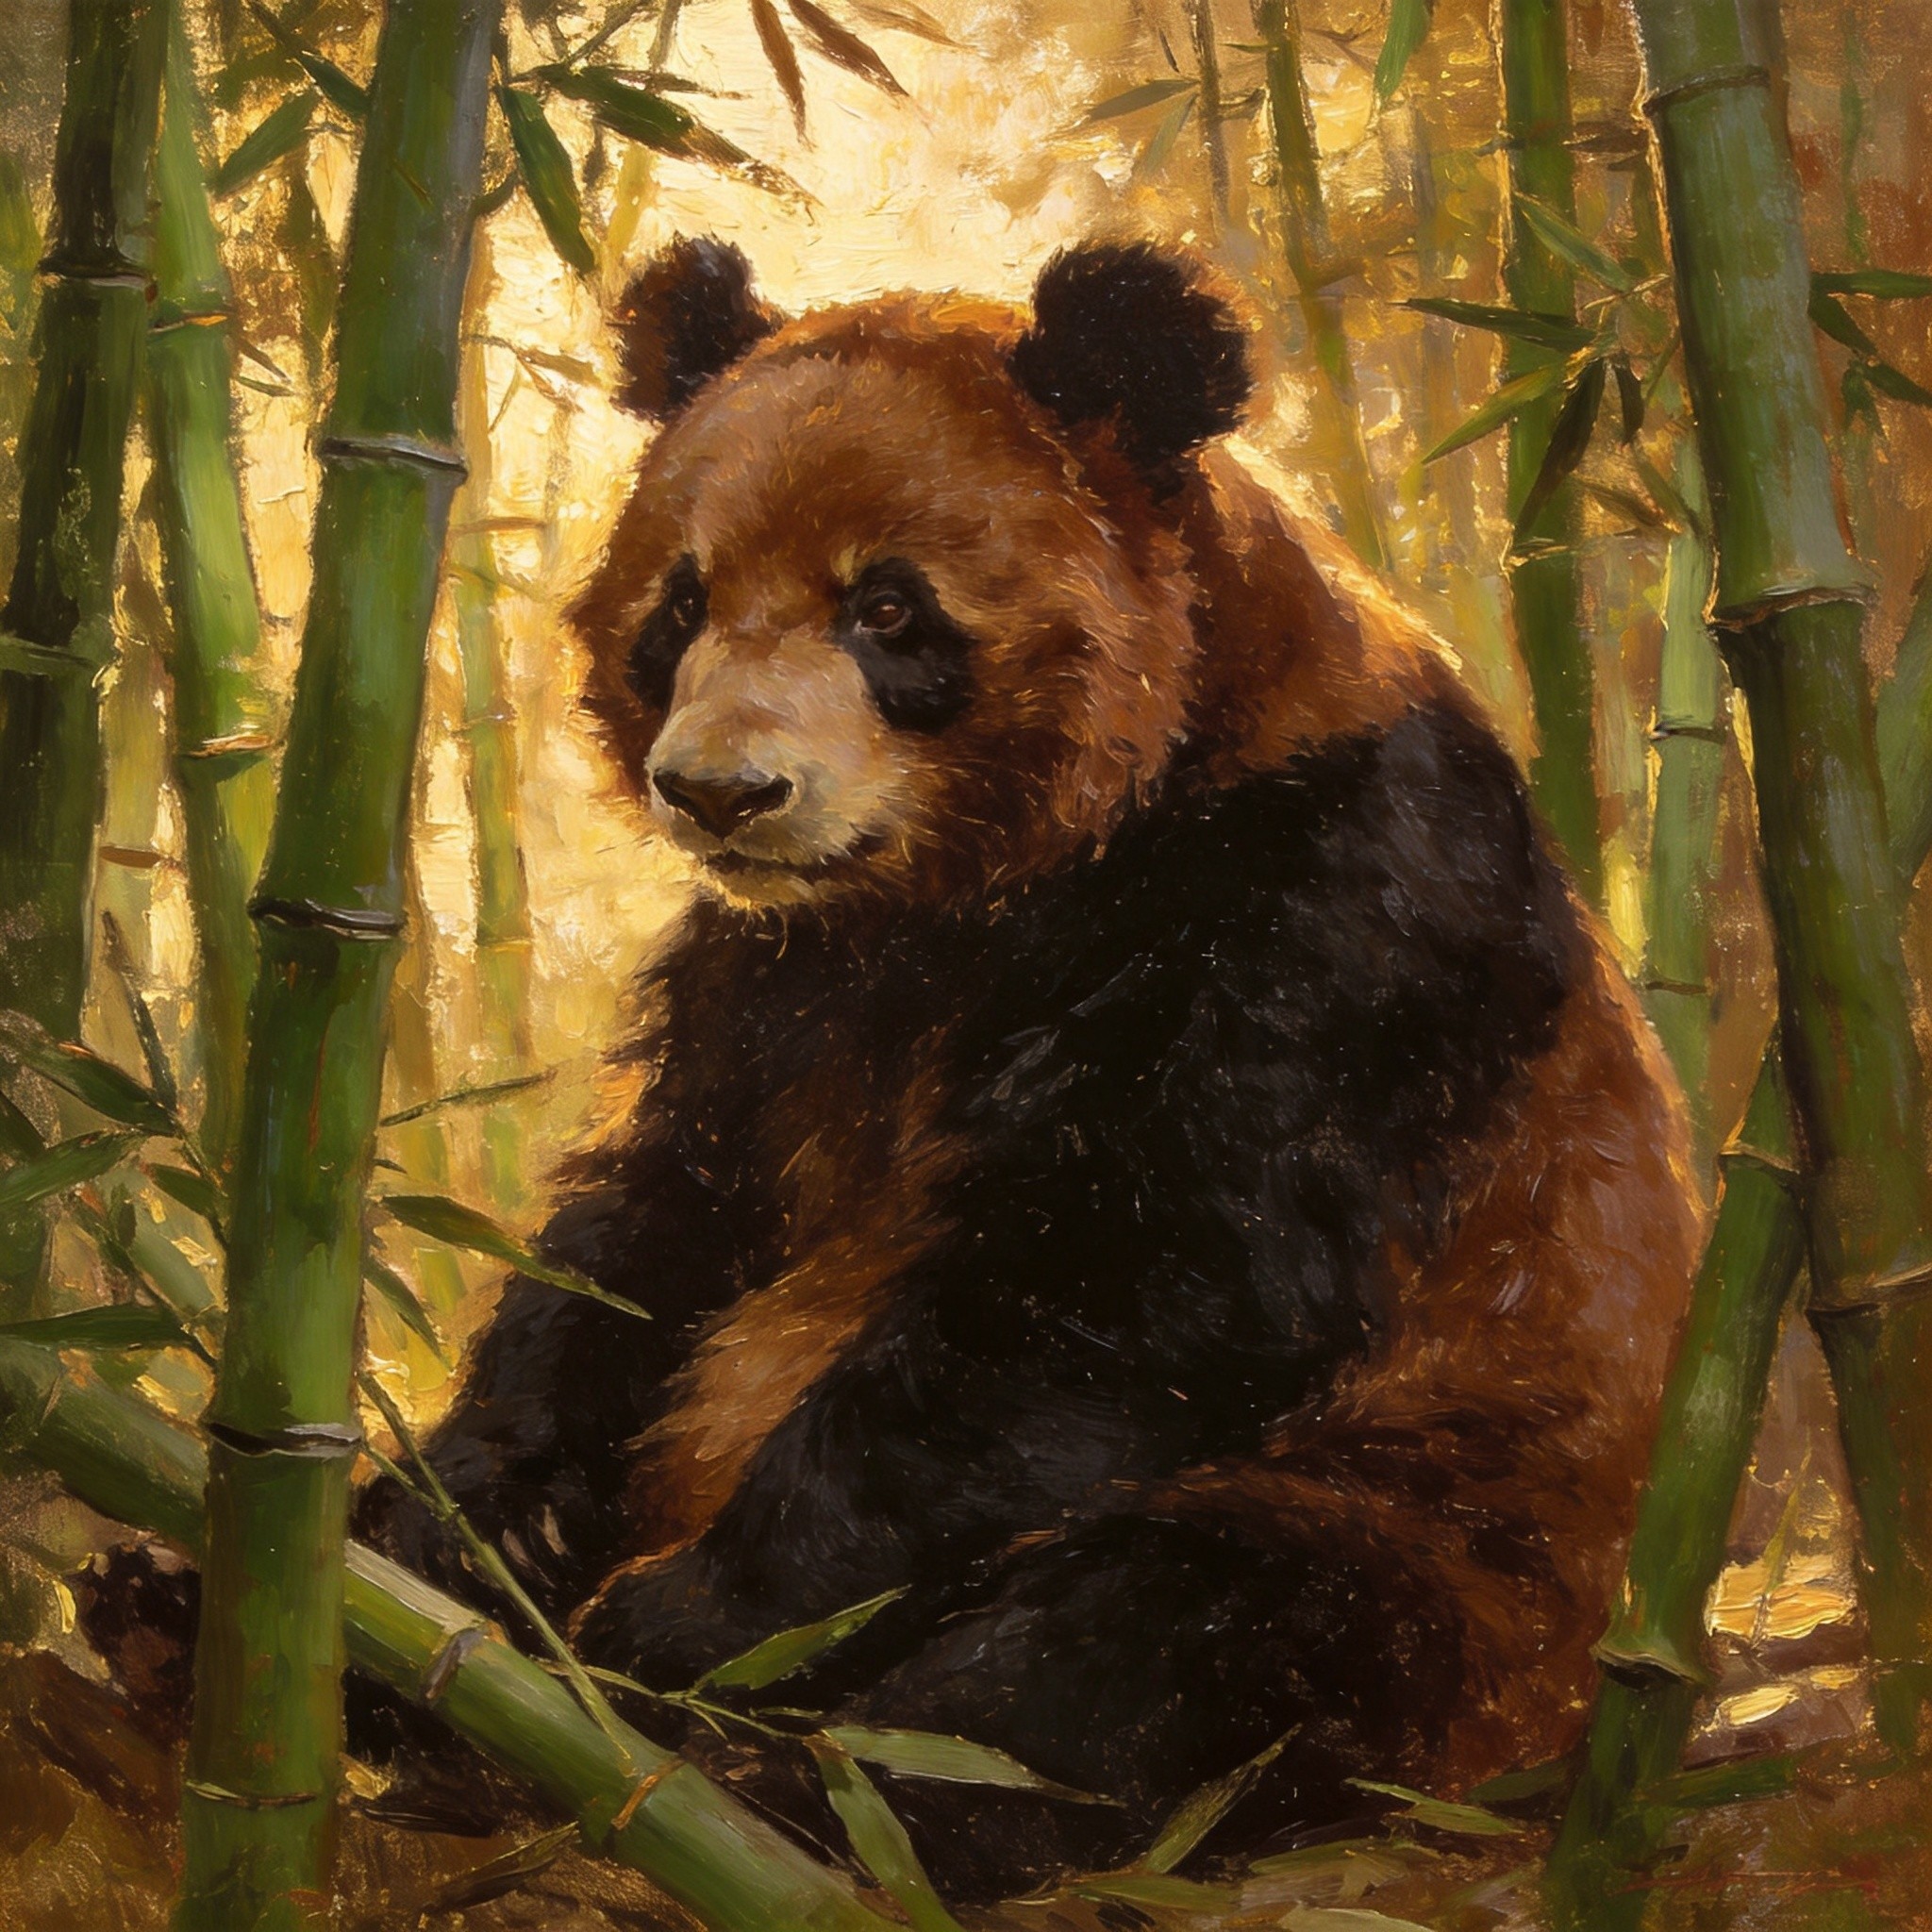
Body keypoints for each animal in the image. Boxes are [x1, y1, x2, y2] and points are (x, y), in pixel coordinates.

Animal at [112, 236, 1702, 1902]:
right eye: (681, 604)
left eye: (888, 607)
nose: (720, 792)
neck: (964, 887)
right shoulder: (770, 979)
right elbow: (655, 1222)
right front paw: (481, 1533)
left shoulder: (1337, 899)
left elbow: (1128, 1284)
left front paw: (677, 1622)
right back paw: (210, 1616)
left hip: (1448, 1541)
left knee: (1157, 1644)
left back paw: (756, 1780)